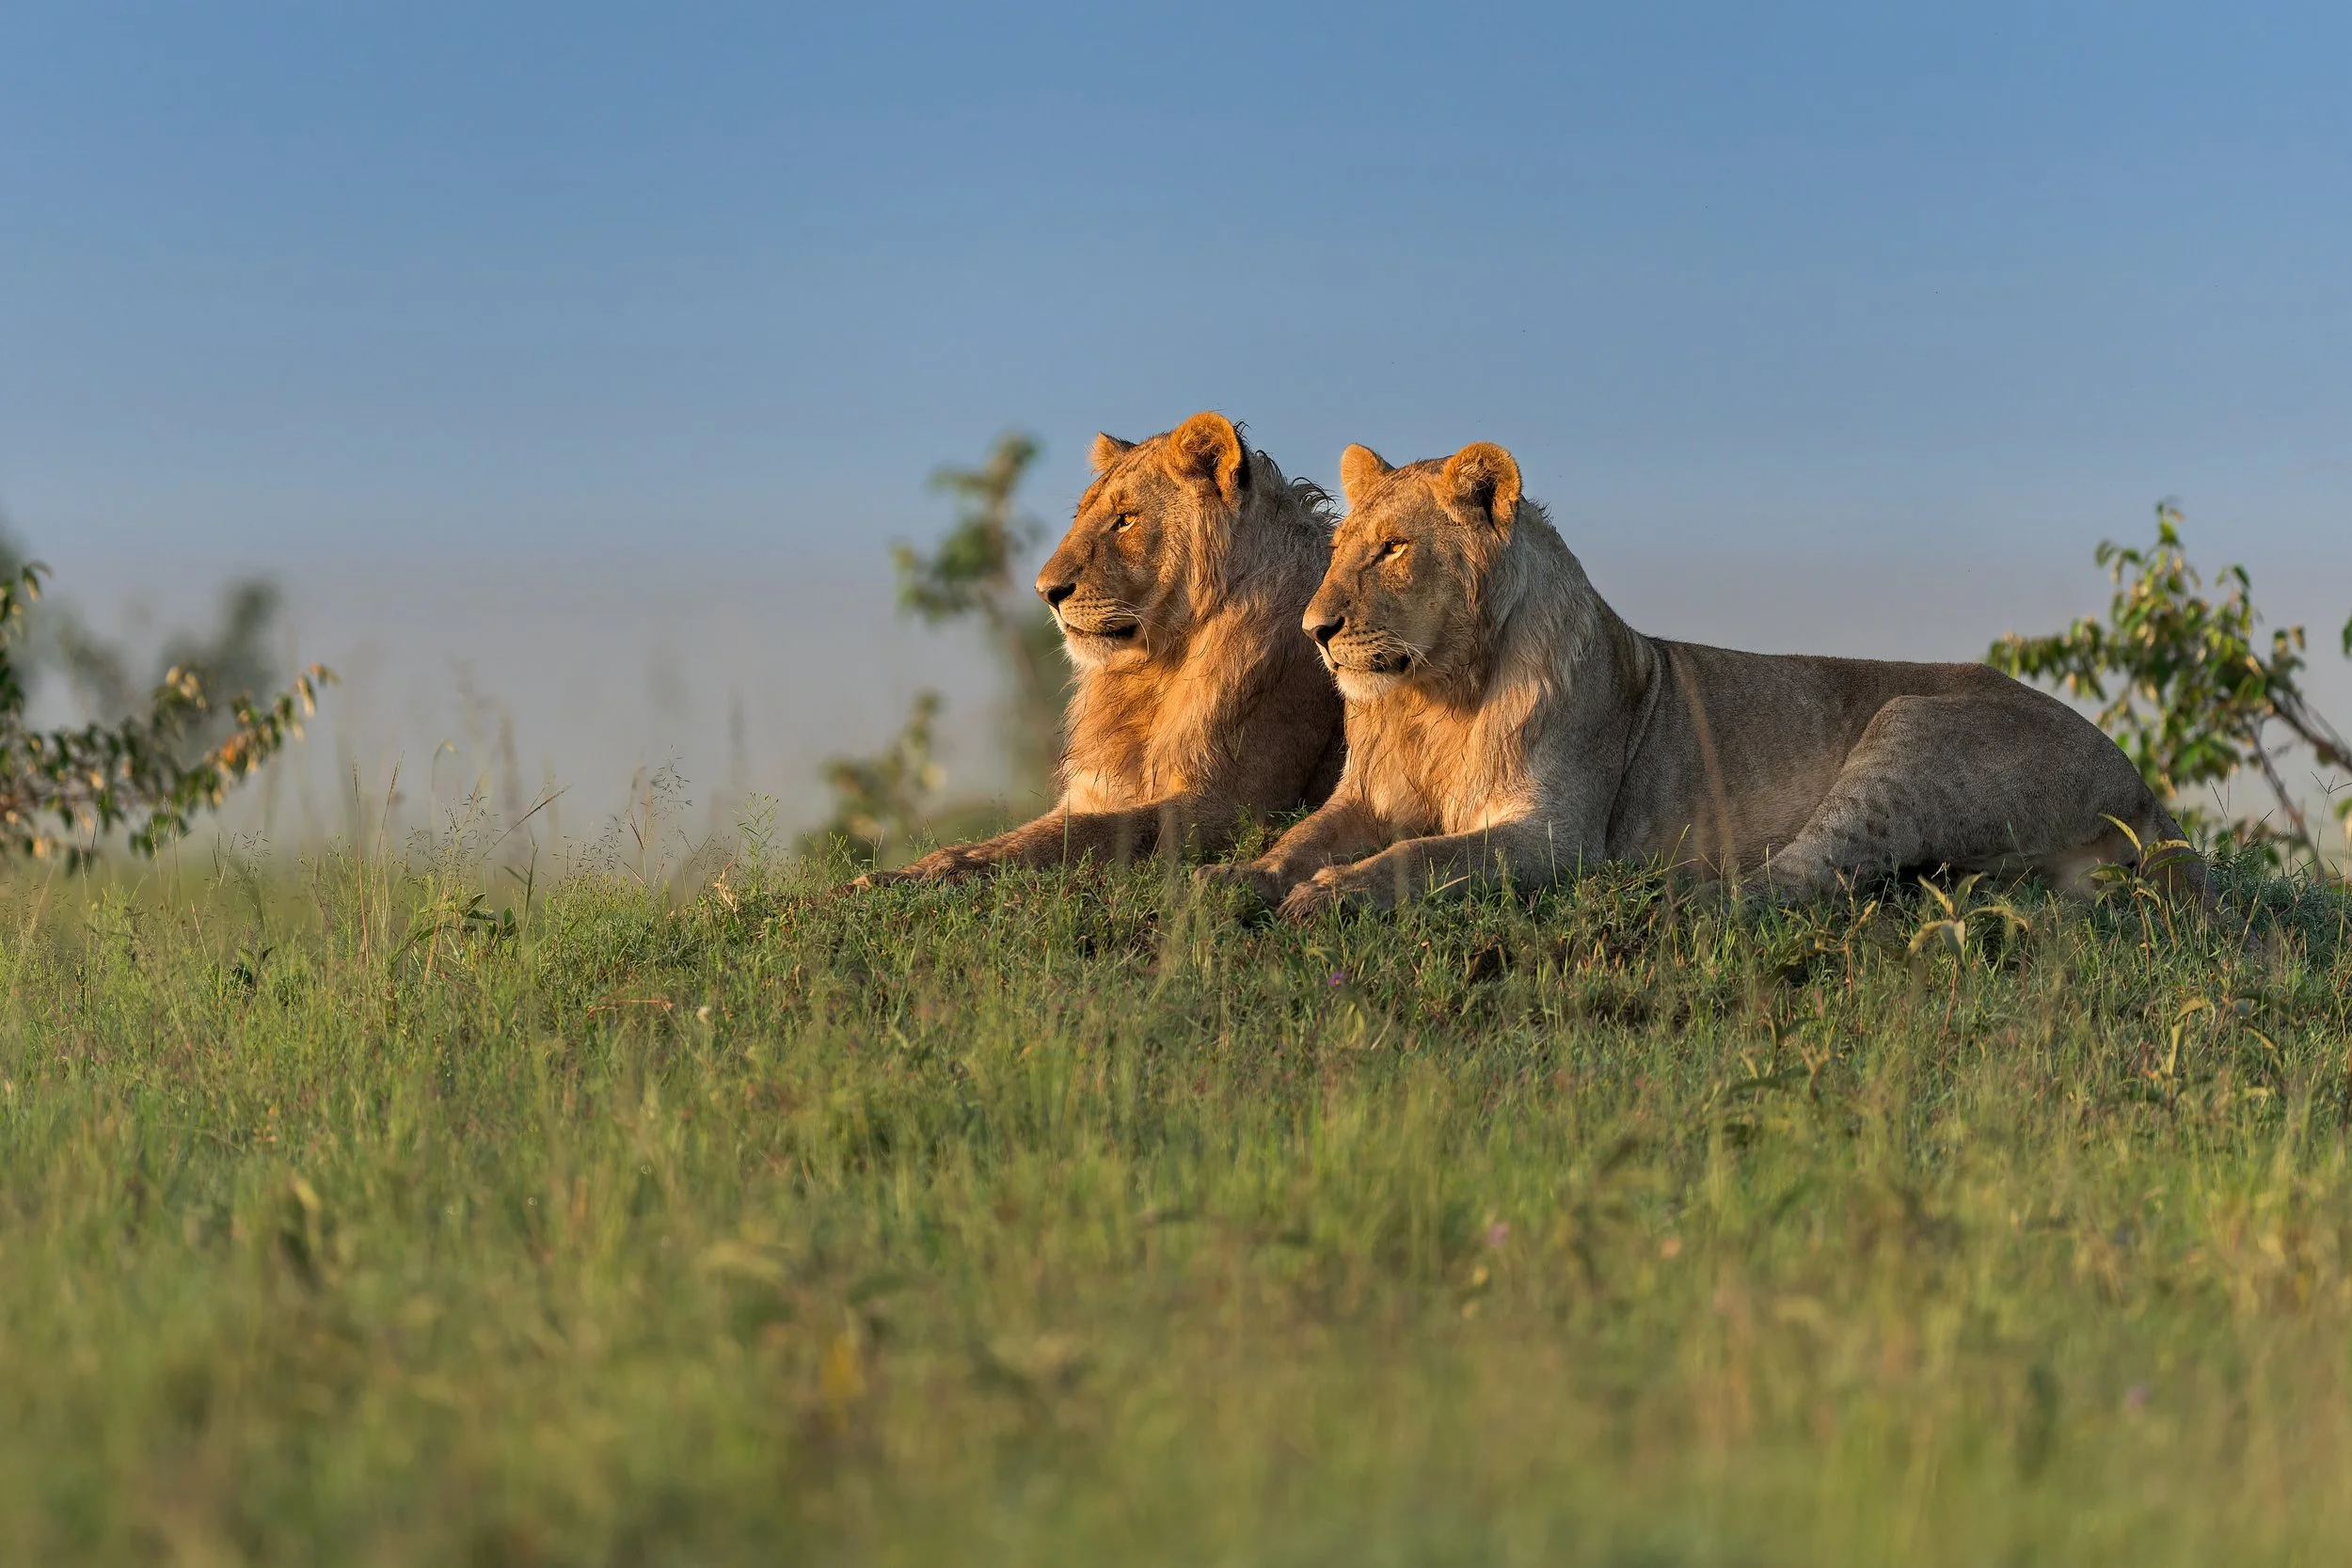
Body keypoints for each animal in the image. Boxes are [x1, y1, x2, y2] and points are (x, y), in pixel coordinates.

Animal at [854, 412, 1344, 887]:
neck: (1157, 668)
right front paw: (897, 874)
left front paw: (943, 872)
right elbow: (1023, 836)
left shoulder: (1231, 807)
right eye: (1081, 516)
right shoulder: (1095, 791)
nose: (1046, 591)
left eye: (1126, 518)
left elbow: (1088, 833)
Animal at [1201, 439, 2207, 920]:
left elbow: (1426, 859)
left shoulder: (1554, 838)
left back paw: (1676, 895)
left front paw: (1331, 894)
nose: (1315, 629)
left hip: (1908, 727)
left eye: (1394, 549)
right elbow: (1296, 841)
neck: (1435, 698)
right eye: (1341, 549)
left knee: (1792, 883)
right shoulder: (1367, 799)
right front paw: (1232, 878)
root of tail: (2138, 783)